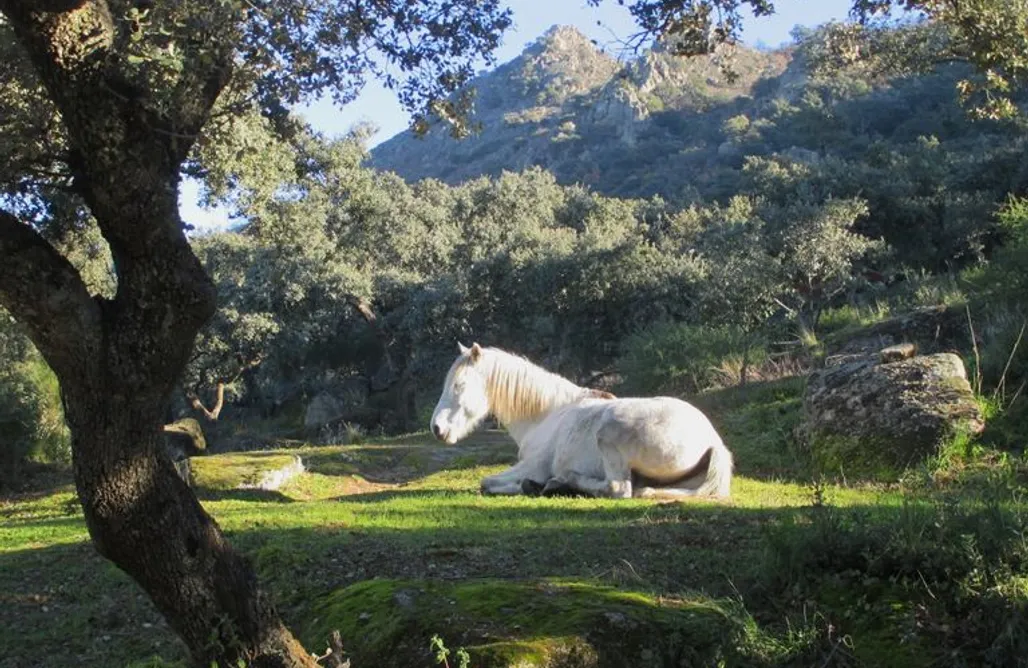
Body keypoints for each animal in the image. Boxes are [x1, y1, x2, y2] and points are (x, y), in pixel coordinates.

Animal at [429, 343, 736, 493]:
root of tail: (712, 441)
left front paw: (529, 485)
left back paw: (561, 481)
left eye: (459, 385)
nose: (437, 428)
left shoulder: (533, 466)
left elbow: (487, 483)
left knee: (618, 489)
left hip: (609, 436)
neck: (547, 415)